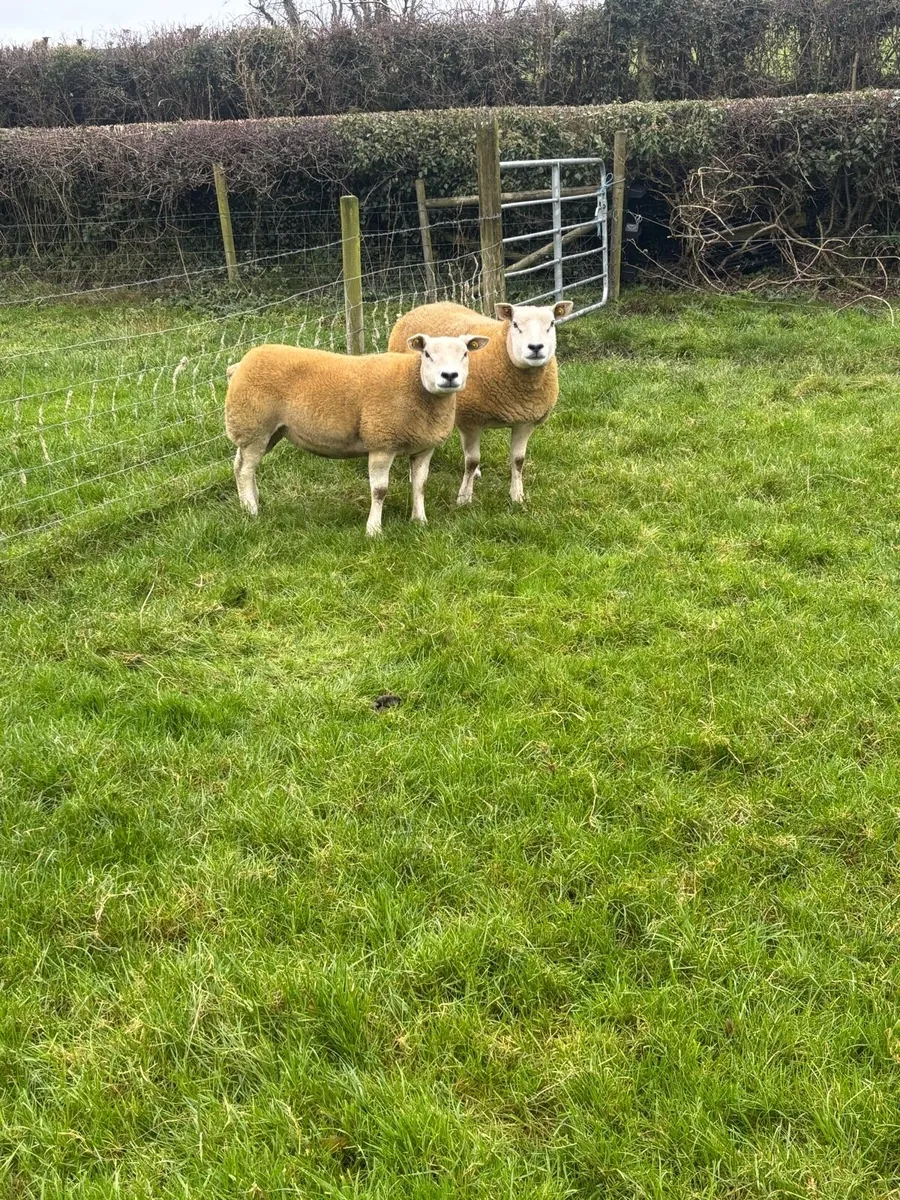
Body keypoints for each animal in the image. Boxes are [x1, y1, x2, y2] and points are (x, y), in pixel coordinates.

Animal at [224, 333, 488, 536]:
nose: (449, 376)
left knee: (240, 465)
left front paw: (419, 520)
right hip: (253, 425)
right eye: (427, 354)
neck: (414, 384)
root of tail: (241, 363)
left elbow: (420, 485)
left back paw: (252, 501)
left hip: (268, 431)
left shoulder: (424, 447)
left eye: (465, 354)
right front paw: (373, 530)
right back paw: (251, 510)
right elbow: (379, 490)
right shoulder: (382, 442)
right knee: (245, 470)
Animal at [388, 299, 573, 505]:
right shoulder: (471, 420)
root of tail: (427, 305)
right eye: (515, 324)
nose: (535, 347)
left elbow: (518, 460)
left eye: (552, 324)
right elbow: (472, 461)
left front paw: (517, 496)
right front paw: (464, 498)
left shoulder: (525, 421)